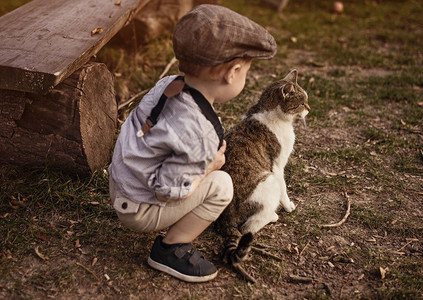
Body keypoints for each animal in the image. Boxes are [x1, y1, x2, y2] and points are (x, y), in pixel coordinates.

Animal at [217, 69, 310, 282]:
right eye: (302, 102)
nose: (309, 109)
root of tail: (226, 218)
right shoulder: (277, 166)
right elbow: (285, 189)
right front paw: (289, 206)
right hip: (268, 181)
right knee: (248, 227)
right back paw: (273, 216)